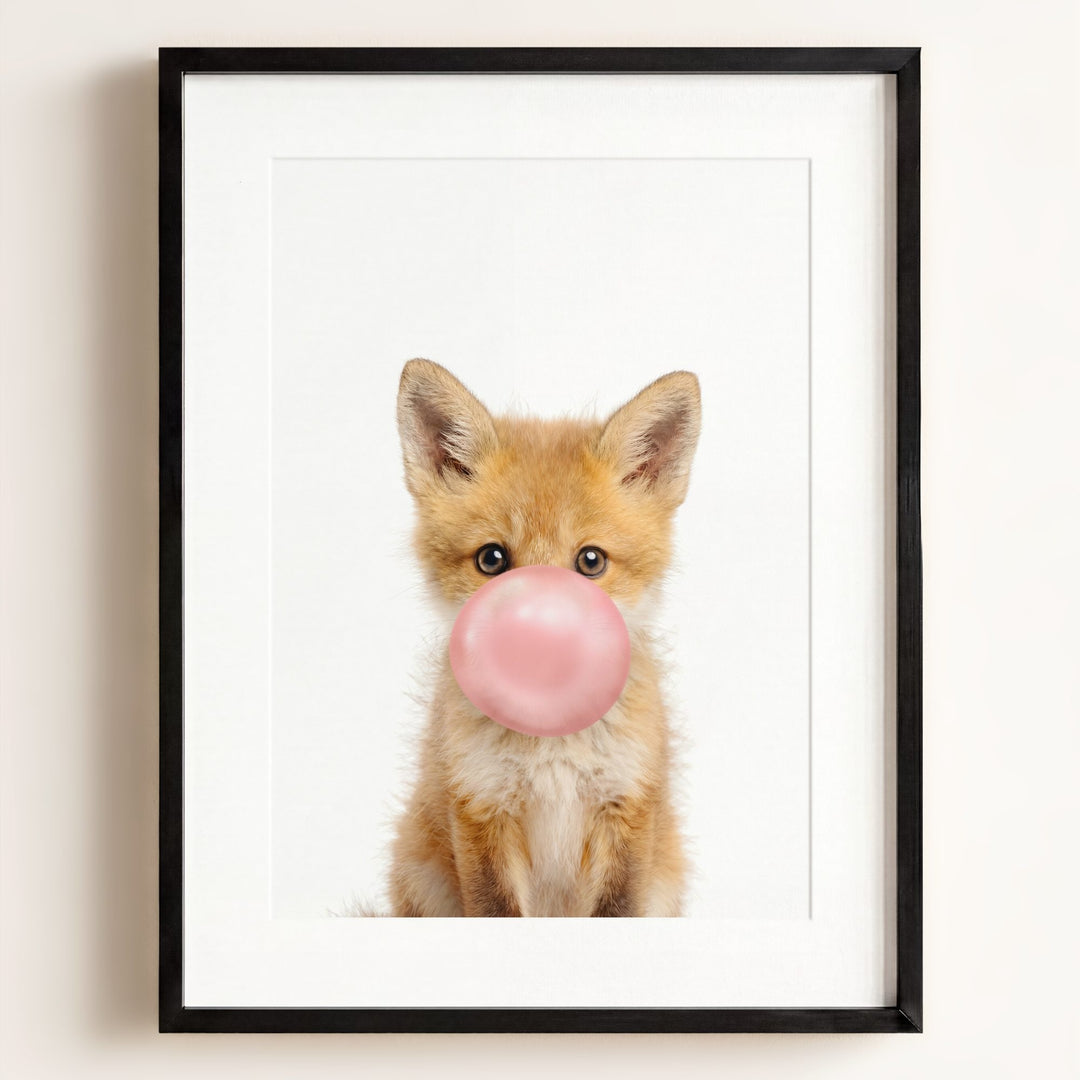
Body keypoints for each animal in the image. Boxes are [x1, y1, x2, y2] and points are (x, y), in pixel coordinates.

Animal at [389, 358, 701, 917]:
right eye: (492, 559)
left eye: (591, 561)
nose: (538, 634)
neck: (551, 745)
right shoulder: (480, 806)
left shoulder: (626, 807)